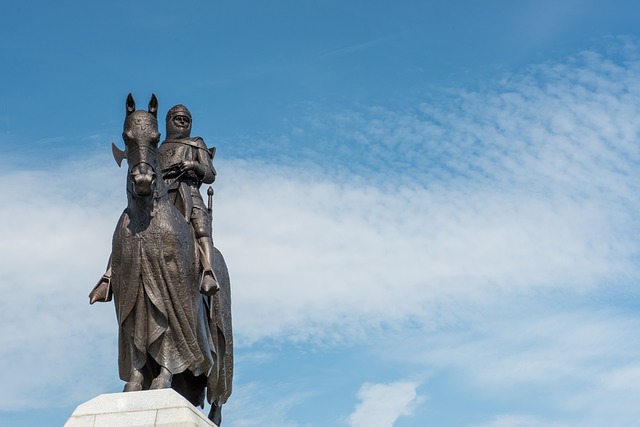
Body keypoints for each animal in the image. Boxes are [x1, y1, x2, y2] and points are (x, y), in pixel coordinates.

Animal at [107, 93, 232, 424]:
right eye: (127, 136)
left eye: (155, 137)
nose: (143, 180)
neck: (144, 219)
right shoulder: (130, 294)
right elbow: (138, 342)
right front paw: (136, 384)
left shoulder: (173, 295)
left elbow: (171, 337)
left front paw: (162, 380)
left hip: (223, 339)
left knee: (219, 380)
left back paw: (214, 414)